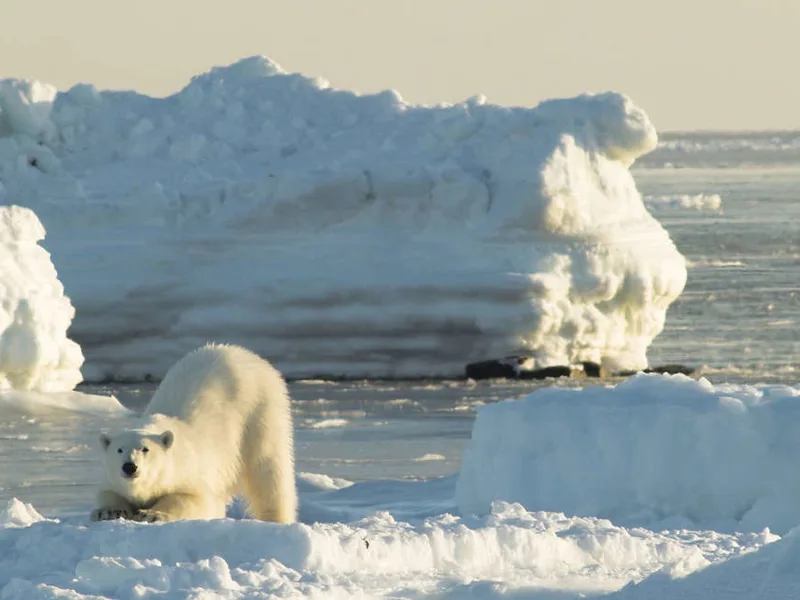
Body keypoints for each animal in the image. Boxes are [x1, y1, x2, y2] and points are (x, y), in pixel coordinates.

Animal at [91, 343, 297, 524]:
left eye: (145, 449)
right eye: (119, 450)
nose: (129, 467)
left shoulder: (190, 468)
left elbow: (194, 498)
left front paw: (152, 513)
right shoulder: (112, 478)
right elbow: (108, 492)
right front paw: (108, 511)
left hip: (260, 410)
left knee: (268, 469)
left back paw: (275, 518)